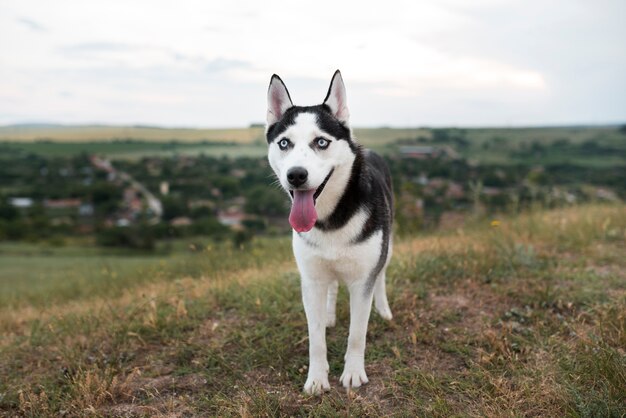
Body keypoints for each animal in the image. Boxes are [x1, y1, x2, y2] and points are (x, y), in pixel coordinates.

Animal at [266, 70, 392, 394]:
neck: (331, 217)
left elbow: (357, 334)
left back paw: (384, 310)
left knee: (382, 276)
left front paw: (353, 373)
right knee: (333, 286)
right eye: (284, 143)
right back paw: (331, 315)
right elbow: (316, 339)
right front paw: (316, 378)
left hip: (387, 247)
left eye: (321, 142)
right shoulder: (311, 280)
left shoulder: (363, 280)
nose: (296, 175)